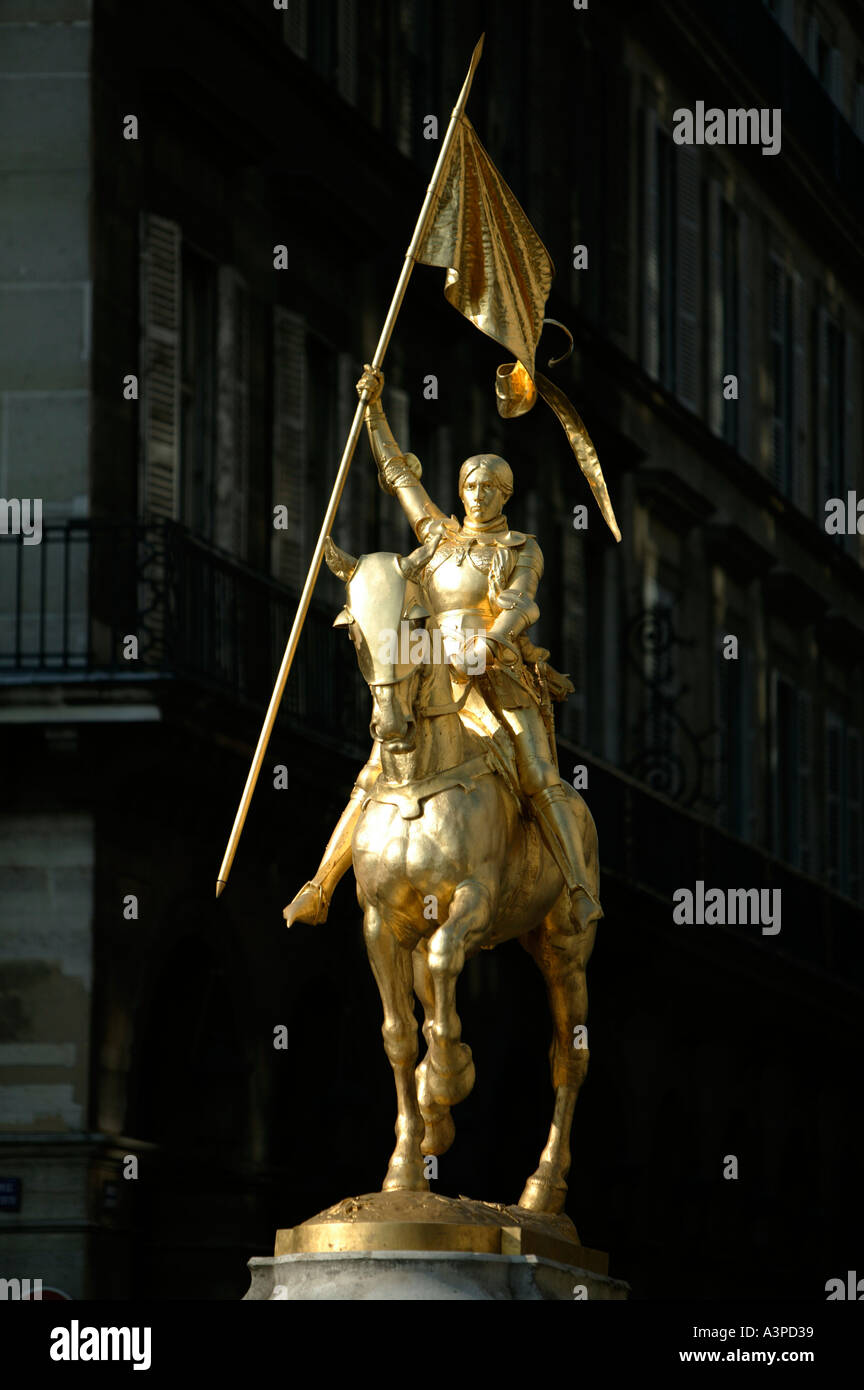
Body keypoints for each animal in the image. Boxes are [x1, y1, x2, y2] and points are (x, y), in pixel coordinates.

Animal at [323, 536, 602, 1212]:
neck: (415, 782)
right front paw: (405, 1163)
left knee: (568, 1057)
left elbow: (448, 962)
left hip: (564, 948)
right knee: (431, 998)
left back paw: (541, 1189)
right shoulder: (380, 925)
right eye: (352, 630)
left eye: (417, 620)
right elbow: (400, 1033)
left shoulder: (474, 901)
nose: (391, 727)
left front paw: (451, 1078)